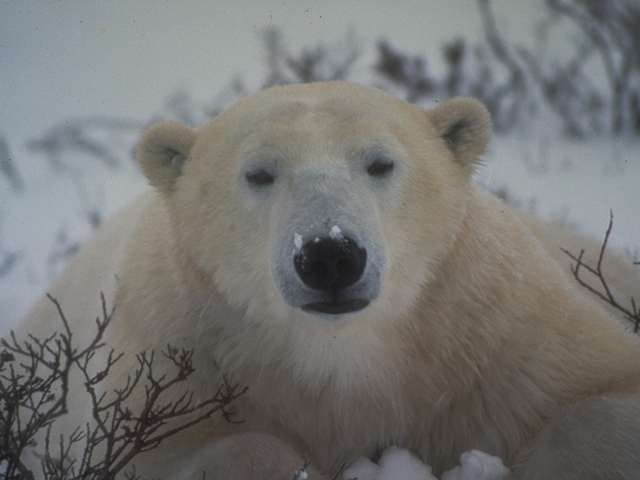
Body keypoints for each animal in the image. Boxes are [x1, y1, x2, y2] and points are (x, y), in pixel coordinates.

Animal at [15, 80, 640, 478]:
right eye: (259, 173)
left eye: (380, 163)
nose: (330, 256)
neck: (343, 355)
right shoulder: (177, 355)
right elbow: (183, 451)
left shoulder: (493, 331)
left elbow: (599, 396)